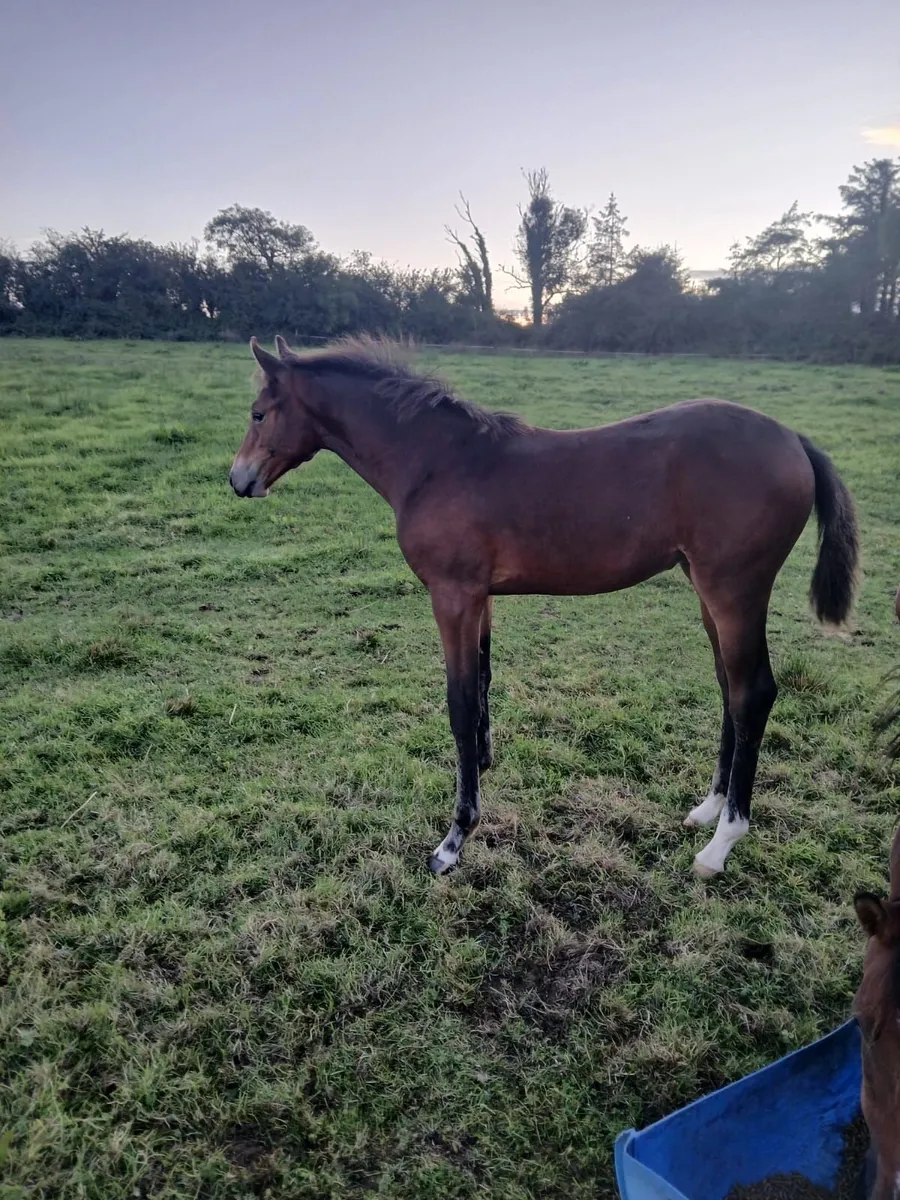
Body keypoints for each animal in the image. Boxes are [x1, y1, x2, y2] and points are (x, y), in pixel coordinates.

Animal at [230, 335, 859, 879]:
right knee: (730, 686)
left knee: (753, 692)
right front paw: (482, 765)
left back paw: (721, 843)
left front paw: (454, 839)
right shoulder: (478, 598)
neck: (437, 460)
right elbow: (482, 683)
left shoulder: (452, 595)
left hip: (735, 590)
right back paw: (707, 809)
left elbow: (459, 702)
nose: (238, 480)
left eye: (259, 413)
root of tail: (794, 438)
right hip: (707, 590)